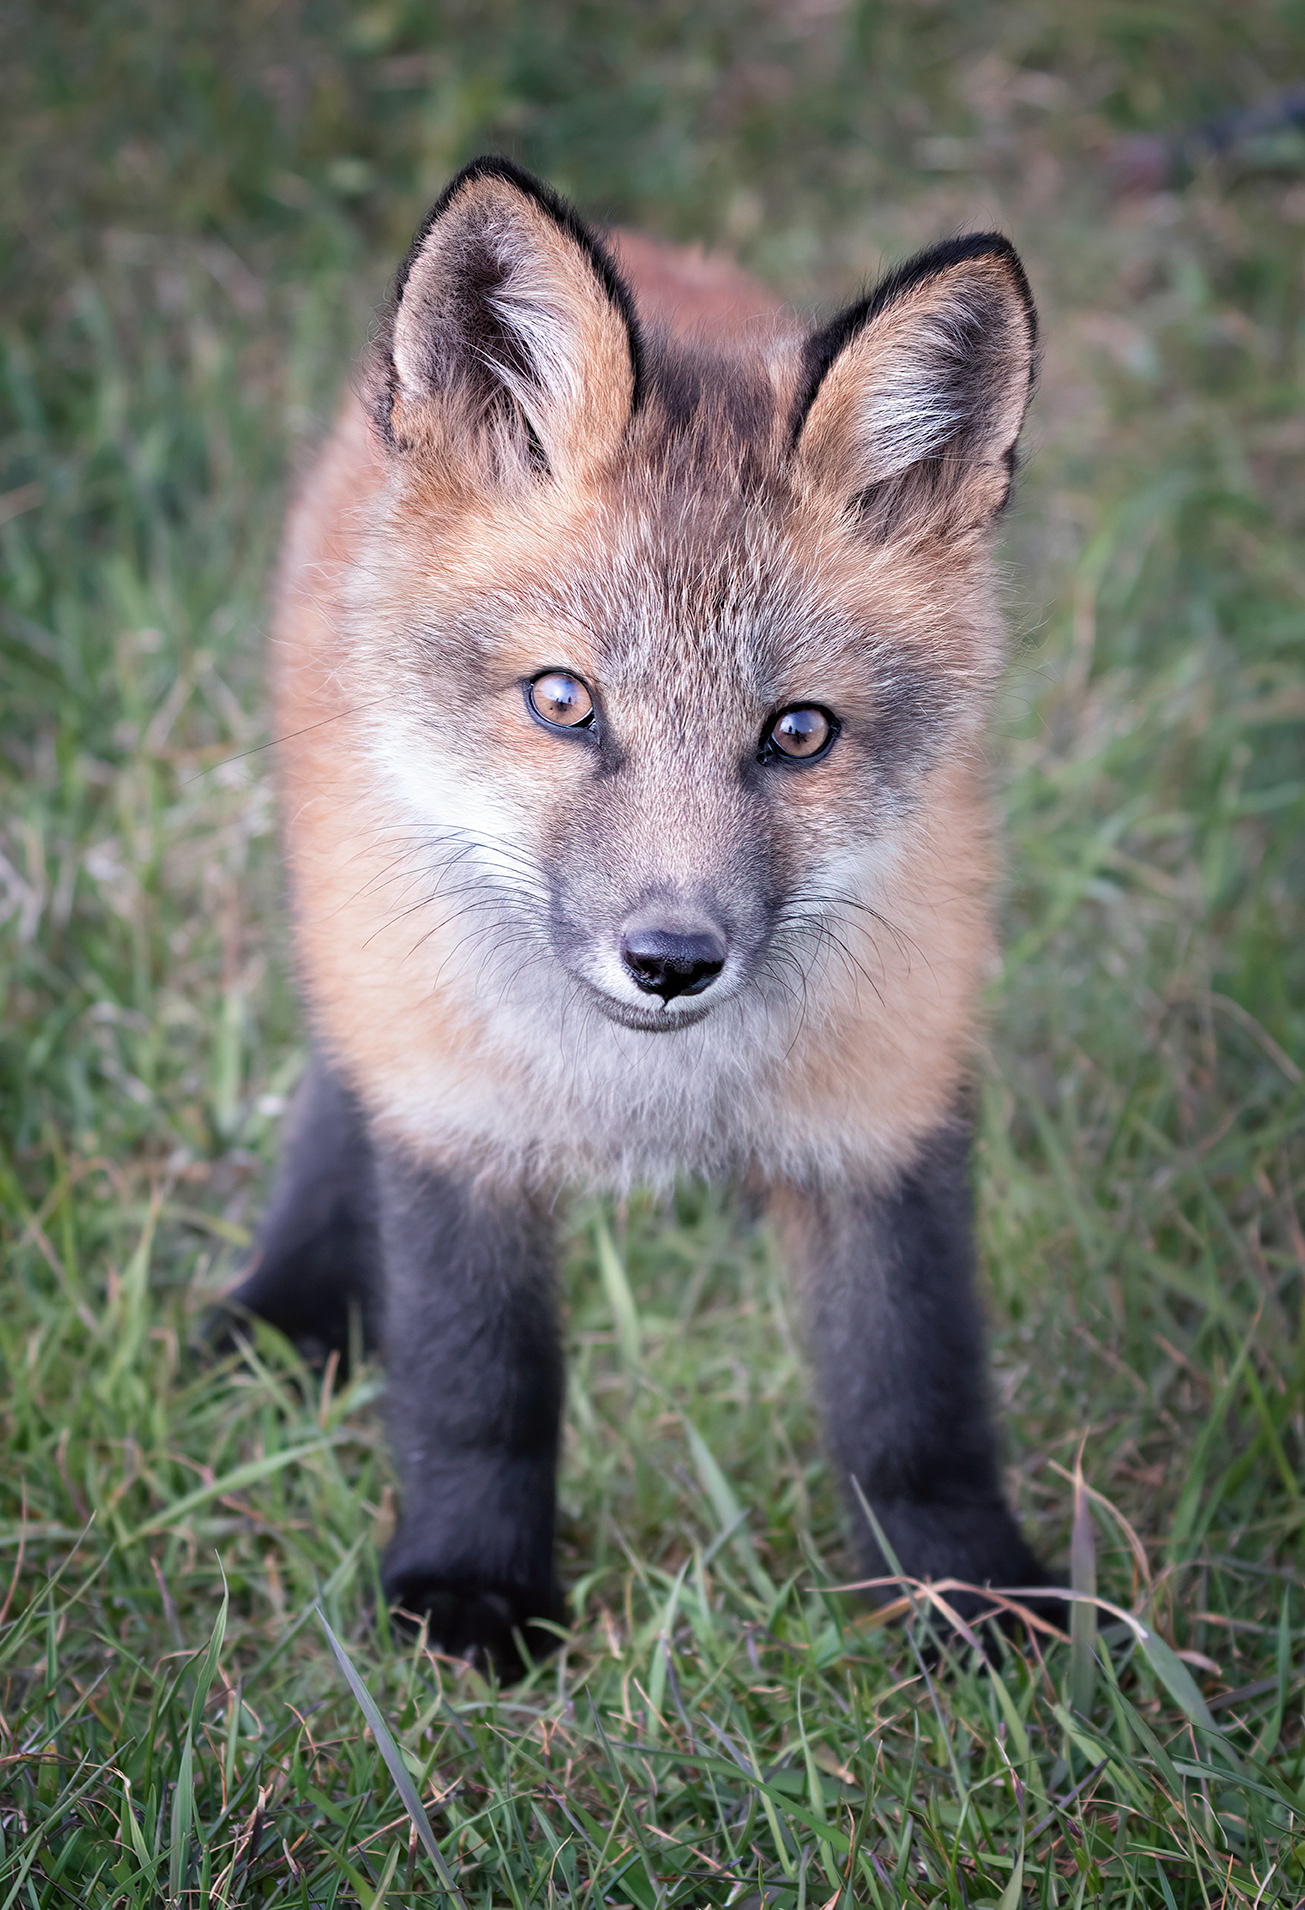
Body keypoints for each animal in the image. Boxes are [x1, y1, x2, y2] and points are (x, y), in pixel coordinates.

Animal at [224, 154, 1061, 1672]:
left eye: (798, 731)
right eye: (565, 700)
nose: (671, 960)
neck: (650, 1090)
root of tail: (650, 248)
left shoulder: (888, 1108)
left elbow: (915, 1401)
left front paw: (964, 1599)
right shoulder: (460, 1115)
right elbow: (478, 1388)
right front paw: (470, 1590)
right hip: (355, 893)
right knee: (336, 1060)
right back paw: (293, 1296)